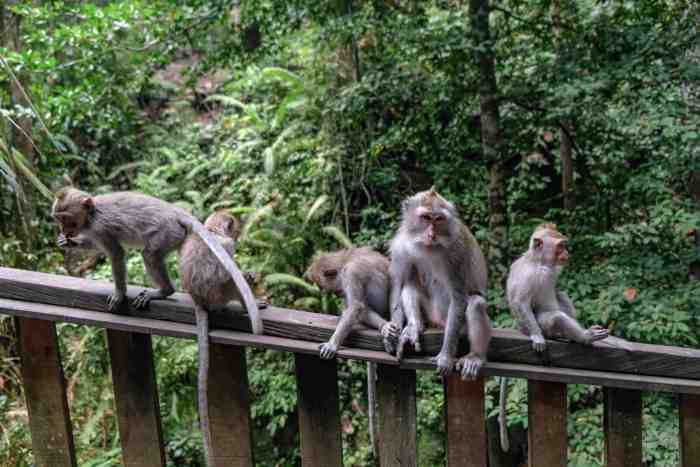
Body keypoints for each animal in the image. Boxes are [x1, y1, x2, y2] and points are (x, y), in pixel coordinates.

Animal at [51, 187, 262, 334]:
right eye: (58, 219)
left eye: (66, 218)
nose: (63, 230)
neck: (92, 214)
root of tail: (177, 212)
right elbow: (96, 246)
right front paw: (68, 242)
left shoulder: (100, 227)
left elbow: (116, 253)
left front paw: (119, 294)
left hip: (168, 232)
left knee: (150, 254)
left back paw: (164, 291)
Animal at [179, 210, 262, 466]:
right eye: (234, 227)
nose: (239, 232)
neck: (212, 231)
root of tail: (199, 301)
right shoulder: (227, 246)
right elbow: (228, 272)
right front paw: (247, 276)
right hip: (219, 296)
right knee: (231, 282)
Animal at [303, 247, 400, 457]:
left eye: (323, 288)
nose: (337, 294)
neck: (344, 260)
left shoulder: (351, 274)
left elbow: (356, 306)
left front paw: (333, 343)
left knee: (358, 306)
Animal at [388, 188, 491, 381]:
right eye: (426, 217)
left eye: (439, 219)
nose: (432, 234)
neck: (427, 247)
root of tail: (438, 321)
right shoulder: (400, 247)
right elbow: (401, 285)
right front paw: (395, 331)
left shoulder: (456, 253)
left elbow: (458, 298)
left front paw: (445, 357)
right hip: (429, 313)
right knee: (410, 287)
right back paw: (415, 326)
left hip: (457, 325)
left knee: (475, 303)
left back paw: (475, 357)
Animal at [498, 223, 608, 451]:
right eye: (560, 246)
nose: (567, 253)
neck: (541, 263)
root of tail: (518, 328)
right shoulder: (529, 275)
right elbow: (521, 302)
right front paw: (537, 338)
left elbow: (558, 292)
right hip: (543, 324)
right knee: (556, 317)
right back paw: (584, 337)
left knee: (561, 296)